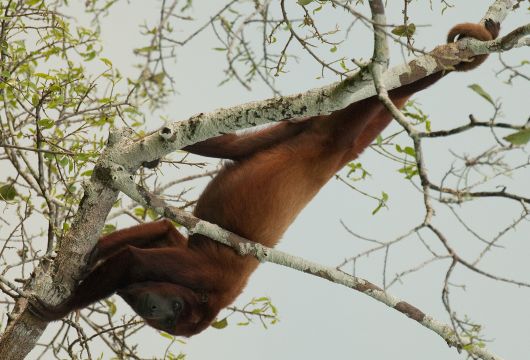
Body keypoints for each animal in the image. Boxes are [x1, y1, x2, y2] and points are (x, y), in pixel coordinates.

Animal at [32, 21, 500, 338]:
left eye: (173, 316)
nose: (156, 311)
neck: (211, 299)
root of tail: (333, 157)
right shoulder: (207, 274)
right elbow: (133, 259)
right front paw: (57, 310)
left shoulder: (187, 257)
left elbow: (156, 232)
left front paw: (88, 256)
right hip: (331, 133)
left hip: (299, 129)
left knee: (236, 145)